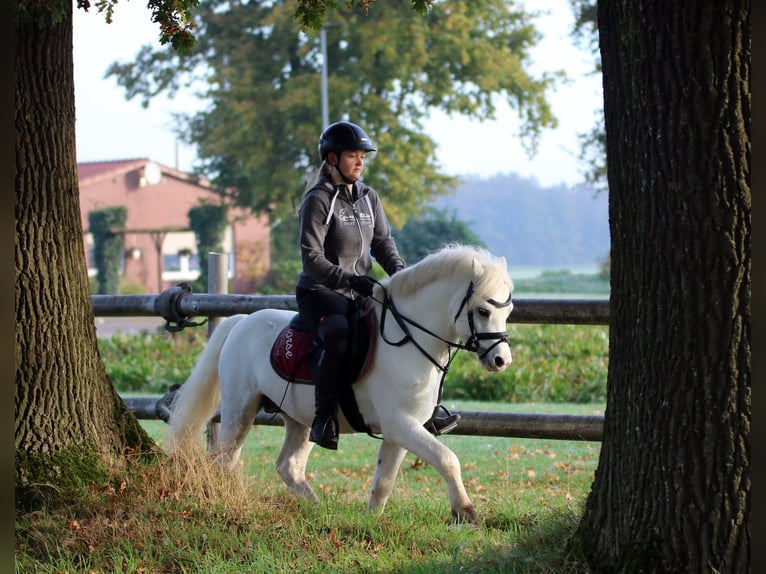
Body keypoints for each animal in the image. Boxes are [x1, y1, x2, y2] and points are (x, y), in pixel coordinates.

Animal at [168, 244, 516, 528]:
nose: (501, 360)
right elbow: (447, 459)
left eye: (508, 311)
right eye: (483, 310)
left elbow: (384, 481)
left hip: (302, 419)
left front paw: (371, 522)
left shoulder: (401, 429)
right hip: (240, 411)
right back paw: (228, 502)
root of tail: (241, 321)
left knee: (289, 466)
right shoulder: (400, 423)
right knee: (225, 460)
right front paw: (466, 512)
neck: (409, 339)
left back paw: (317, 509)